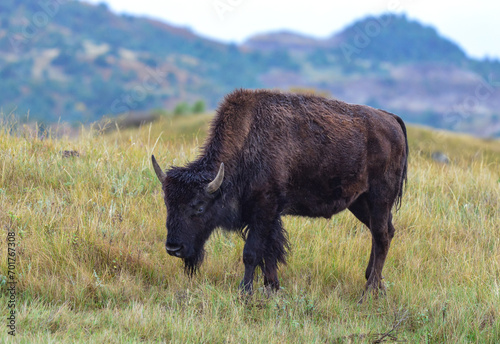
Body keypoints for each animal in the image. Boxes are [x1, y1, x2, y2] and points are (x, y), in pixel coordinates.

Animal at [151, 88, 406, 296]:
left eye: (199, 206)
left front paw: (246, 291)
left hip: (380, 197)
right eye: (168, 204)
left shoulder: (264, 209)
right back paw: (375, 282)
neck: (247, 142)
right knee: (382, 232)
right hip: (359, 202)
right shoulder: (268, 216)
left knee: (382, 236)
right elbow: (269, 252)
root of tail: (391, 118)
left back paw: (369, 291)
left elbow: (252, 252)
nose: (173, 247)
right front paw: (272, 287)